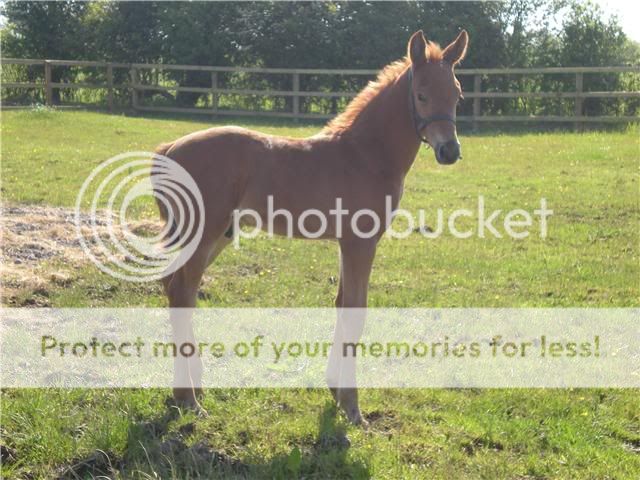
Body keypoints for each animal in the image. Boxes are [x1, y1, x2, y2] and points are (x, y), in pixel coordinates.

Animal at [153, 29, 468, 425]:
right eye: (422, 94)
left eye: (457, 93)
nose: (449, 152)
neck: (364, 154)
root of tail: (168, 148)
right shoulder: (360, 242)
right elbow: (355, 311)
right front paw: (352, 407)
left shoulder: (347, 243)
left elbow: (340, 304)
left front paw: (335, 390)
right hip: (203, 234)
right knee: (183, 292)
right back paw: (189, 399)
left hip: (217, 237)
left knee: (172, 287)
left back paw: (190, 388)